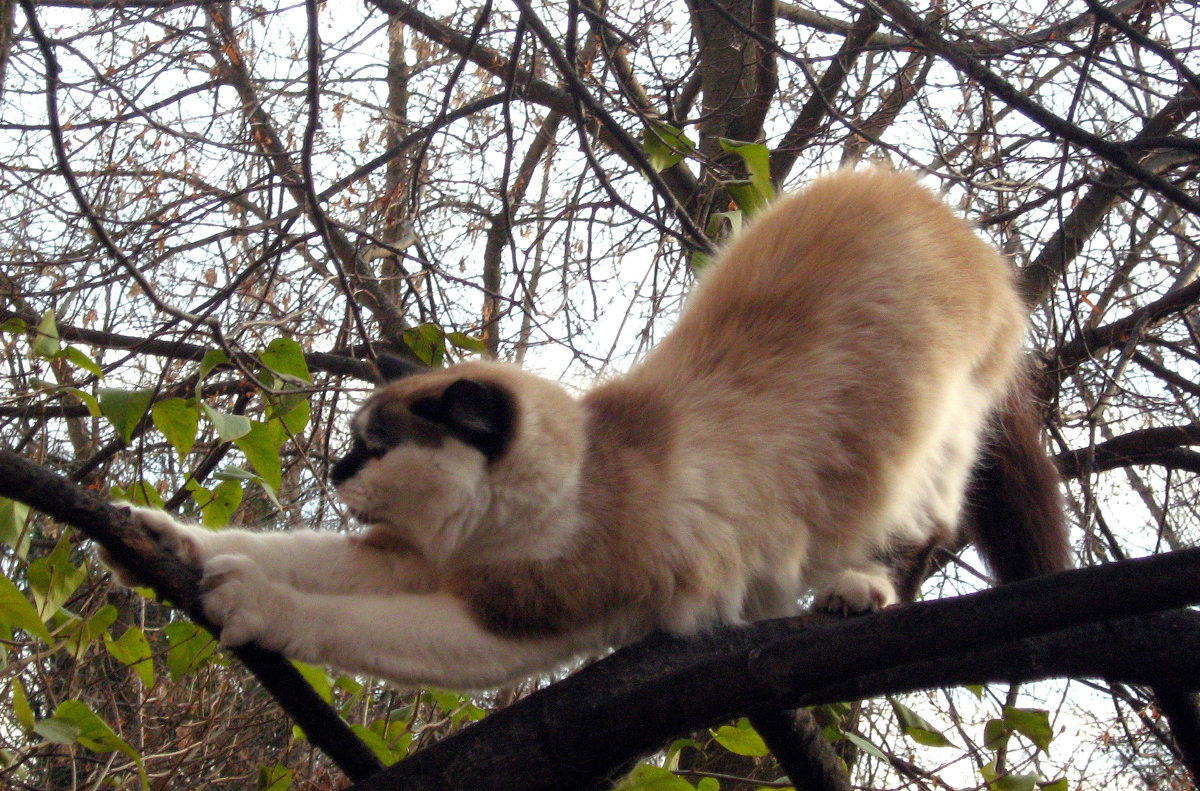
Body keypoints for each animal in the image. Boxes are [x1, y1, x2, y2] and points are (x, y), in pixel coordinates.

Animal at [110, 169, 1070, 691]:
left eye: (373, 448)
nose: (339, 475)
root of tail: (957, 226)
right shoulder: (408, 558)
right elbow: (269, 547)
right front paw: (159, 534)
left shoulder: (517, 619)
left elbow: (330, 615)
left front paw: (250, 604)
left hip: (924, 446)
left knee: (931, 526)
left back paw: (856, 589)